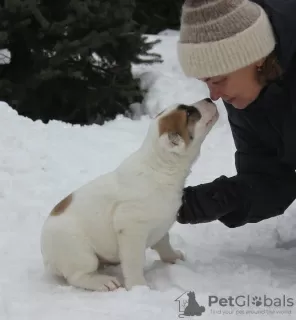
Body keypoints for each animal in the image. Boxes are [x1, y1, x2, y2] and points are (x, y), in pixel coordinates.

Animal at [40, 99, 219, 292]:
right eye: (189, 113)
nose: (209, 99)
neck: (160, 166)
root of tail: (46, 257)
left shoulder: (161, 223)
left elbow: (164, 242)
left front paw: (172, 257)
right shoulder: (132, 229)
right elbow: (134, 262)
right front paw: (139, 287)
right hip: (79, 252)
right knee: (78, 276)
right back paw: (103, 281)